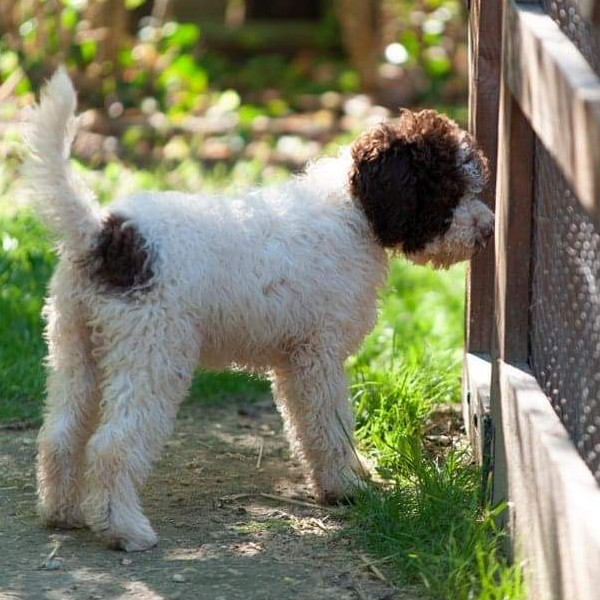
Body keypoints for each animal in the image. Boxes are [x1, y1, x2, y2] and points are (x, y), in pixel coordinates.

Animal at [22, 68, 492, 552]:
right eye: (449, 190)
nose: (487, 231)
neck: (354, 212)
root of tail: (105, 232)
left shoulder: (293, 362)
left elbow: (308, 429)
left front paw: (344, 480)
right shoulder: (317, 356)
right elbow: (330, 426)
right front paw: (347, 487)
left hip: (74, 348)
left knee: (58, 434)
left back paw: (61, 513)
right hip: (152, 355)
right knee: (112, 445)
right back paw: (125, 530)